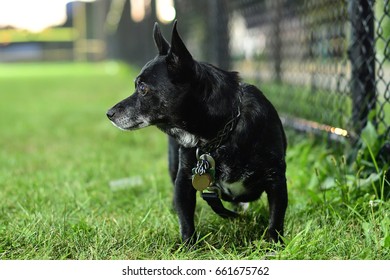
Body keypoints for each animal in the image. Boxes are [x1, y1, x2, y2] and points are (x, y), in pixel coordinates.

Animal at [106, 21, 286, 243]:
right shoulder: (185, 179)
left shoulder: (276, 179)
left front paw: (274, 244)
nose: (109, 113)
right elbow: (185, 218)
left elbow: (276, 218)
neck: (222, 133)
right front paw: (189, 245)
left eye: (143, 89)